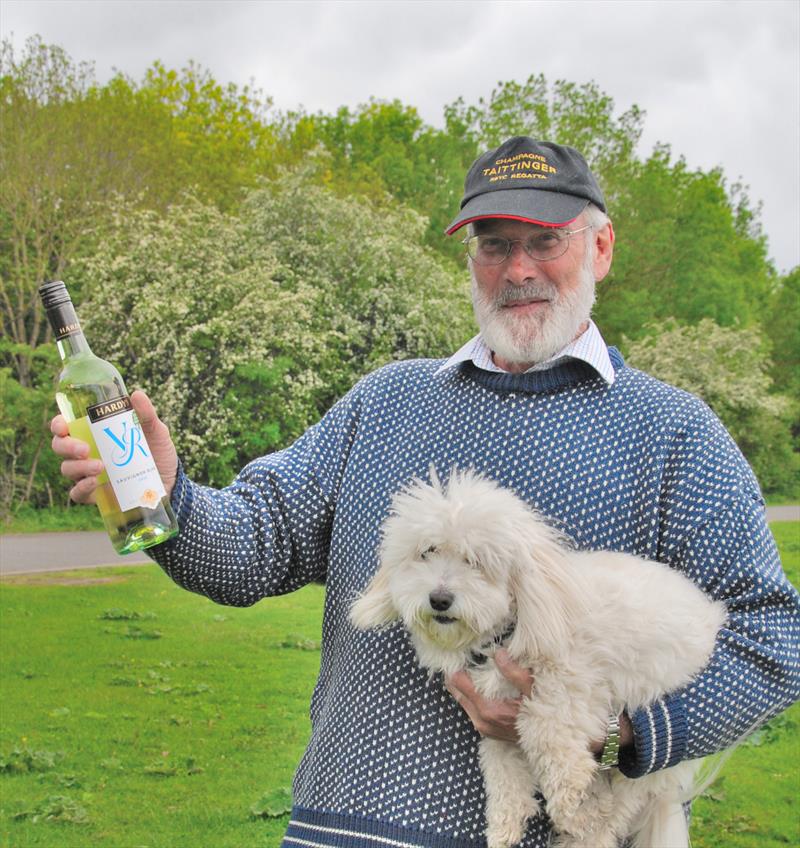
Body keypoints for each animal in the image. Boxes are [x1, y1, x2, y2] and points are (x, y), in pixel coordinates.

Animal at [348, 470, 724, 848]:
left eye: (476, 561)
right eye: (427, 552)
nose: (439, 599)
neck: (508, 629)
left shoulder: (573, 679)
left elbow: (545, 725)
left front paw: (567, 791)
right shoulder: (496, 719)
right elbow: (503, 768)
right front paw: (505, 820)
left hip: (645, 763)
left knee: (612, 814)